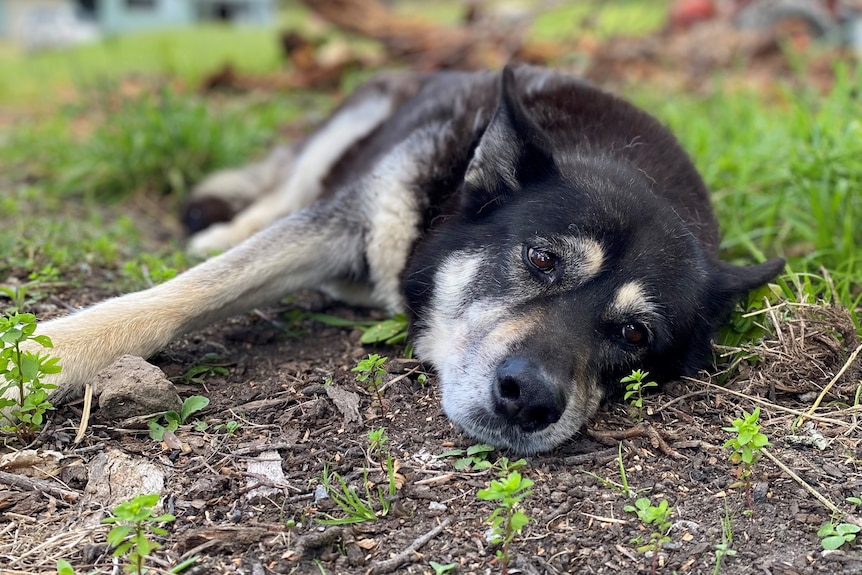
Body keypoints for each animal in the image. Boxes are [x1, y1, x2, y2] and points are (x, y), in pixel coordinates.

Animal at [23, 65, 788, 454]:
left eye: (634, 334)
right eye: (541, 258)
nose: (529, 398)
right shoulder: (345, 218)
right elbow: (188, 292)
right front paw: (45, 352)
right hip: (346, 135)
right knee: (284, 186)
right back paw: (225, 224)